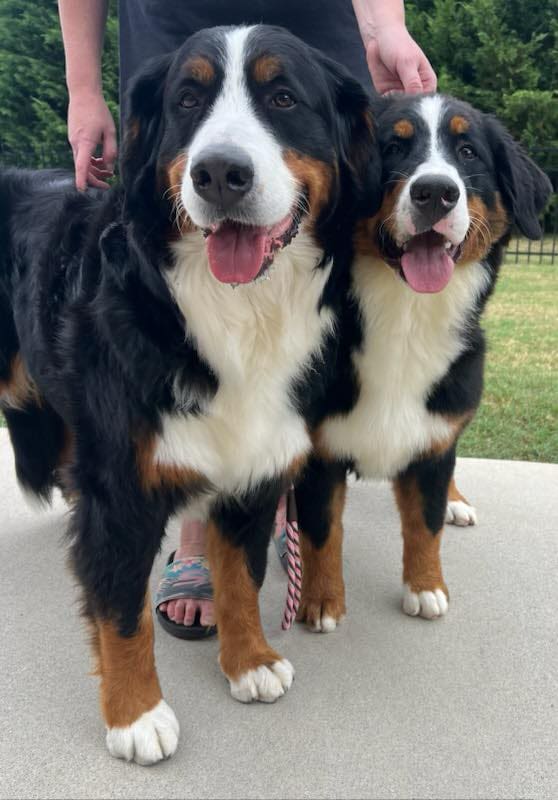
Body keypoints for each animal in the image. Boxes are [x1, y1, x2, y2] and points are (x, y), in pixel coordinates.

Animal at [294, 93, 552, 630]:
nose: (436, 192)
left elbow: (425, 523)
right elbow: (322, 531)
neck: (406, 320)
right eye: (392, 147)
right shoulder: (317, 451)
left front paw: (427, 586)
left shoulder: (434, 437)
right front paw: (323, 601)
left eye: (468, 152)